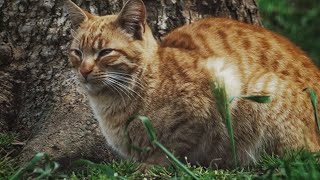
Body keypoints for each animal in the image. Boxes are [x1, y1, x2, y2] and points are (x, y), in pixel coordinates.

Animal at [63, 0, 318, 167]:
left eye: (105, 52)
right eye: (77, 52)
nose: (84, 70)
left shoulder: (213, 91)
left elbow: (171, 148)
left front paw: (150, 167)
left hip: (262, 92)